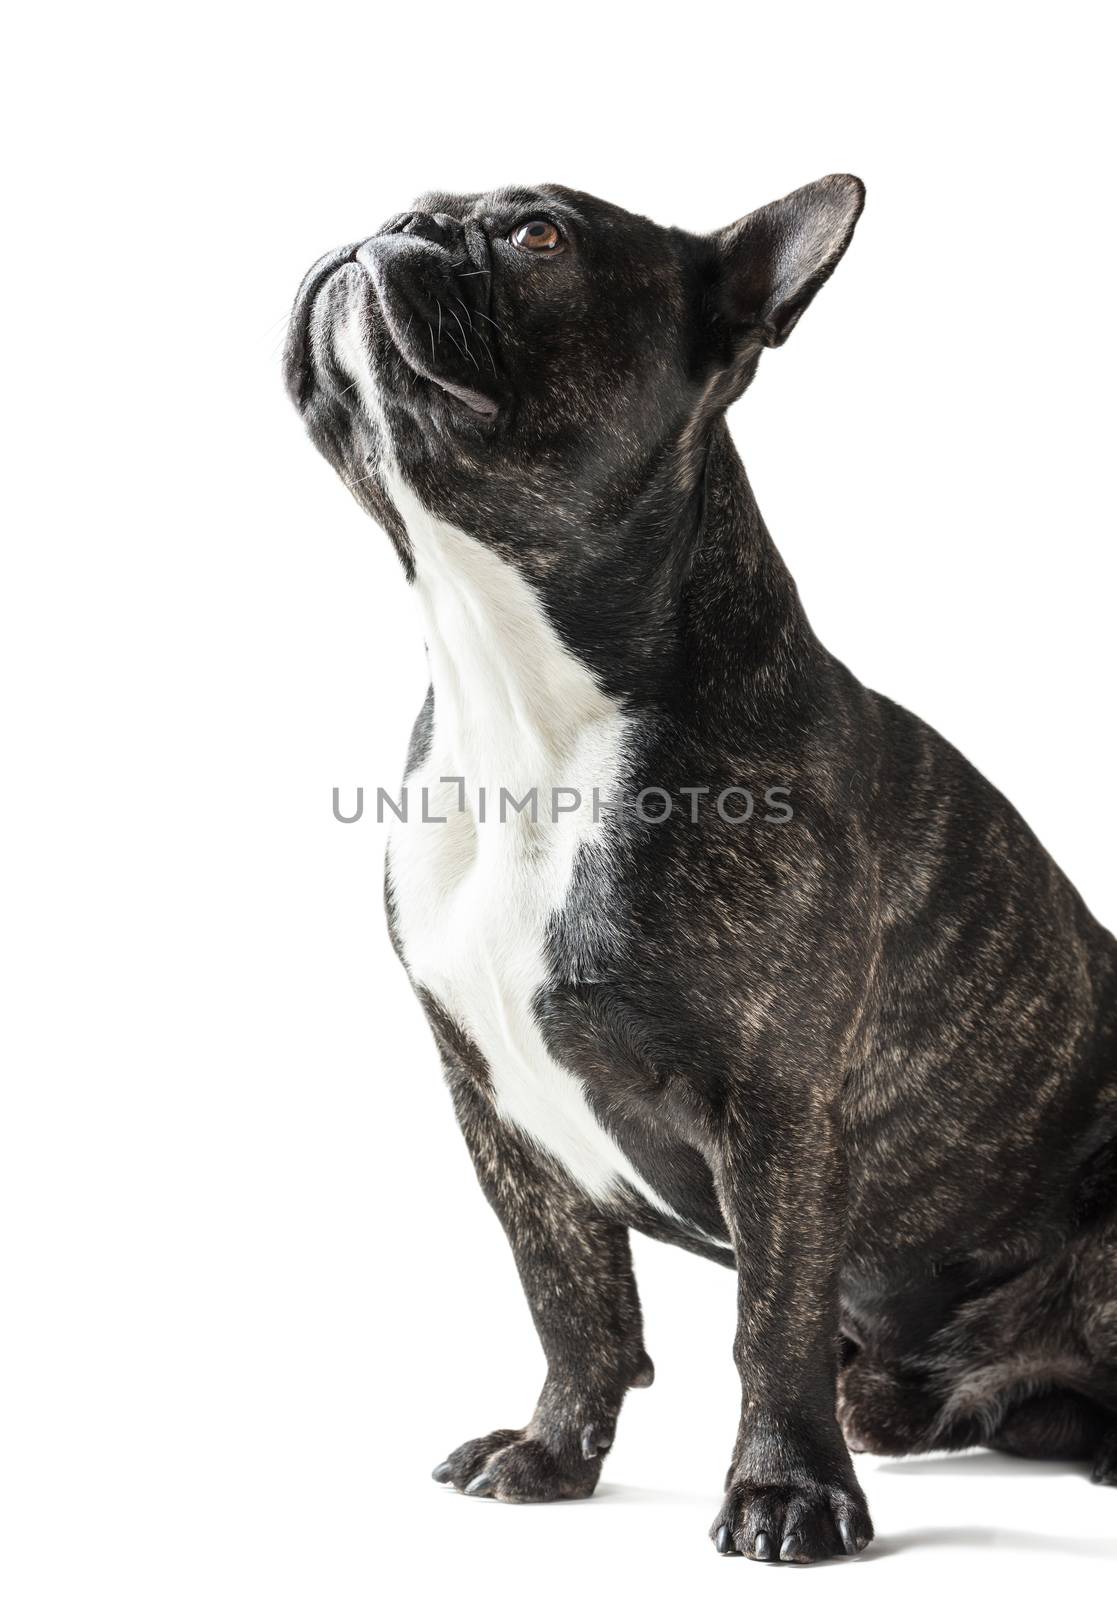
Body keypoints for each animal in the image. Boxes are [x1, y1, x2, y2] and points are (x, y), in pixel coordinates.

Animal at [283, 178, 1107, 1561]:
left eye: (539, 237)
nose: (397, 223)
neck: (522, 702)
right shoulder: (497, 1106)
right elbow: (569, 1296)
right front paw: (552, 1452)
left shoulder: (775, 1107)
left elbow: (768, 1322)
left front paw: (784, 1492)